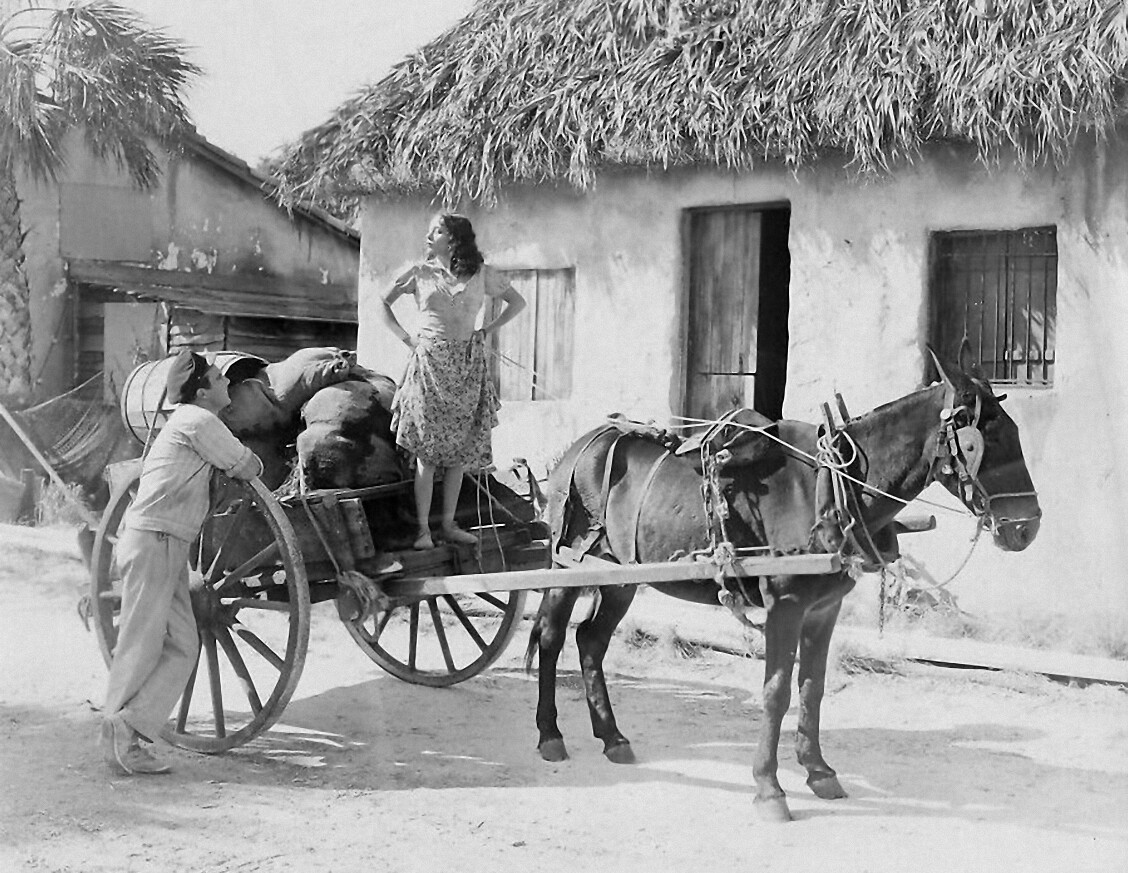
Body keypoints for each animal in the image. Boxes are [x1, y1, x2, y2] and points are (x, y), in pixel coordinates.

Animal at [526, 345, 1041, 822]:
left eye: (1015, 434)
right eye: (982, 441)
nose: (1026, 528)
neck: (834, 486)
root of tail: (583, 443)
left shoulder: (824, 608)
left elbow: (812, 687)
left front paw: (819, 771)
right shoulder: (786, 605)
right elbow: (776, 693)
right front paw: (769, 789)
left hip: (619, 576)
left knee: (591, 640)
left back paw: (612, 737)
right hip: (566, 564)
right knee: (551, 635)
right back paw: (550, 734)